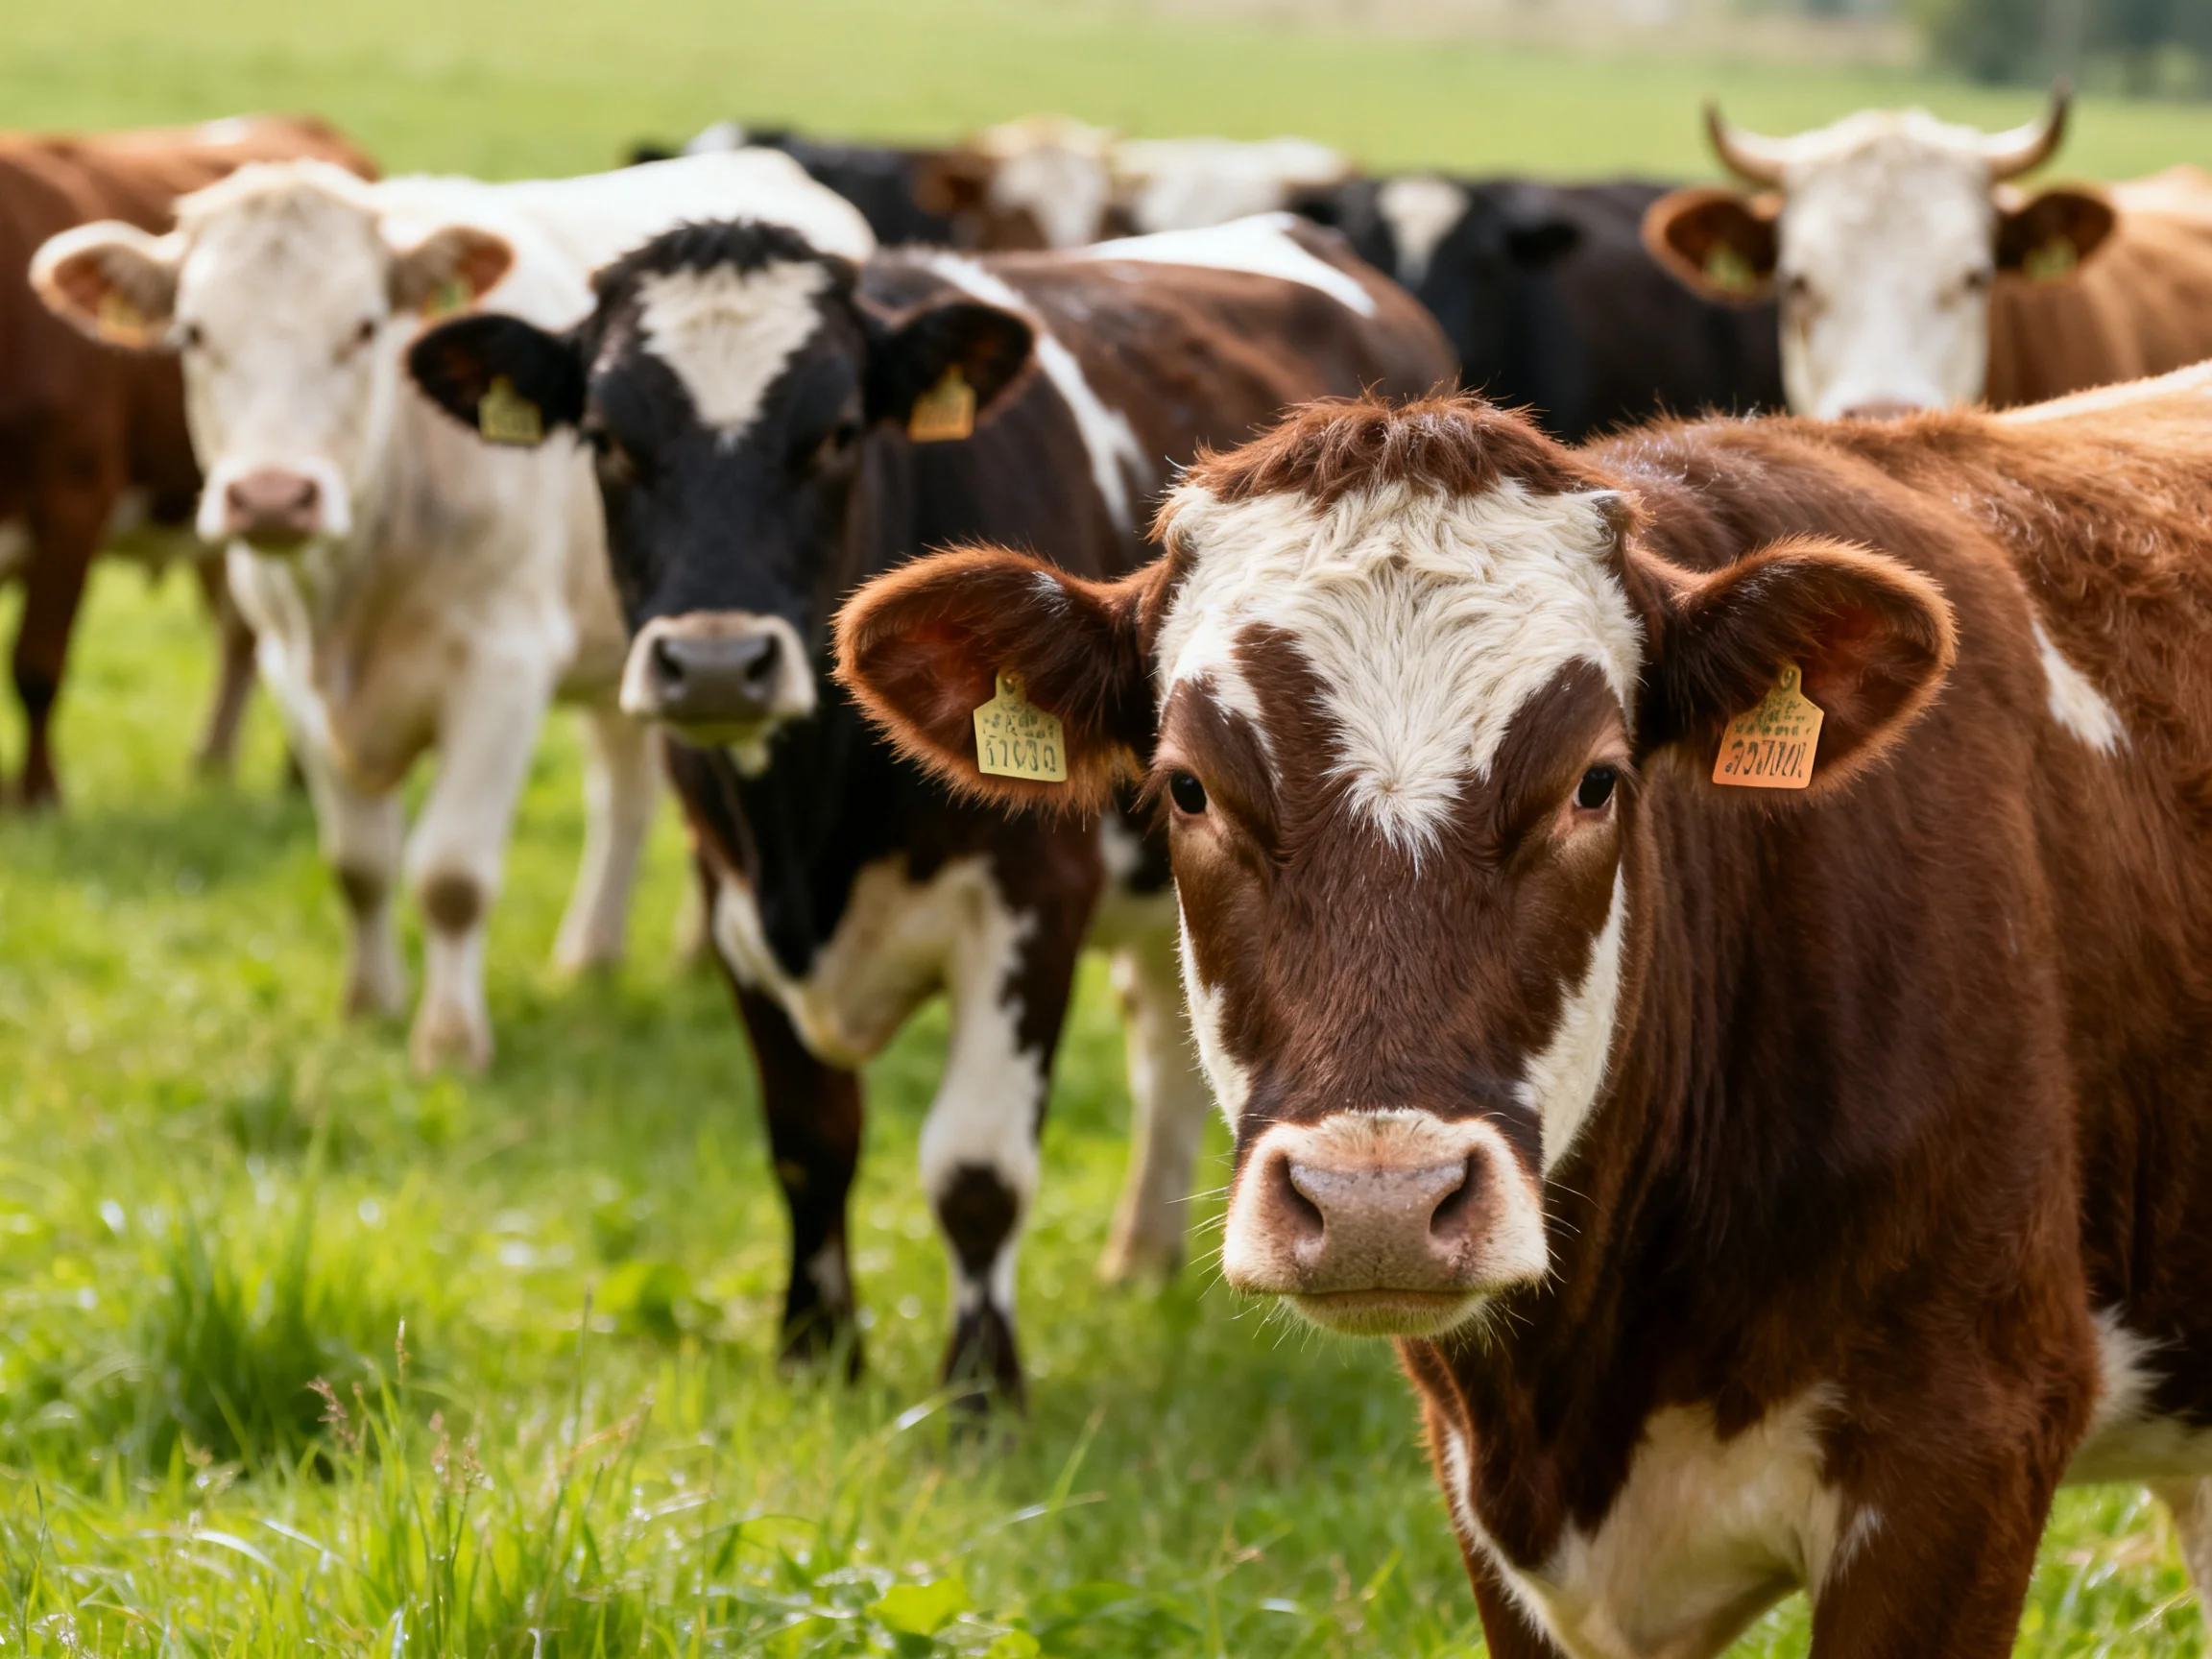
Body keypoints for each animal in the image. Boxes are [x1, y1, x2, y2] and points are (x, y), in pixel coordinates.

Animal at [0, 115, 374, 807]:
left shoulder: (74, 501)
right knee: (241, 632)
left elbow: (37, 665)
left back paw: (299, 779)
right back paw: (213, 763)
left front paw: (40, 798)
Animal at [32, 152, 874, 1071]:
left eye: (367, 328)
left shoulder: (503, 670)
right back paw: (592, 955)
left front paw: (449, 1043)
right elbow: (359, 863)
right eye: (192, 335)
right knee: (626, 792)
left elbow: (451, 877)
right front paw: (367, 1008)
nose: (272, 496)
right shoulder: (294, 675)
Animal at [401, 212, 1453, 1401]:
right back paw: (1137, 1257)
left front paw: (980, 1394)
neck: (808, 831)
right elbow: (809, 1141)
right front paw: (815, 1355)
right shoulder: (729, 899)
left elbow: (977, 1169)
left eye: (836, 434)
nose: (716, 664)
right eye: (610, 438)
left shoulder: (1031, 903)